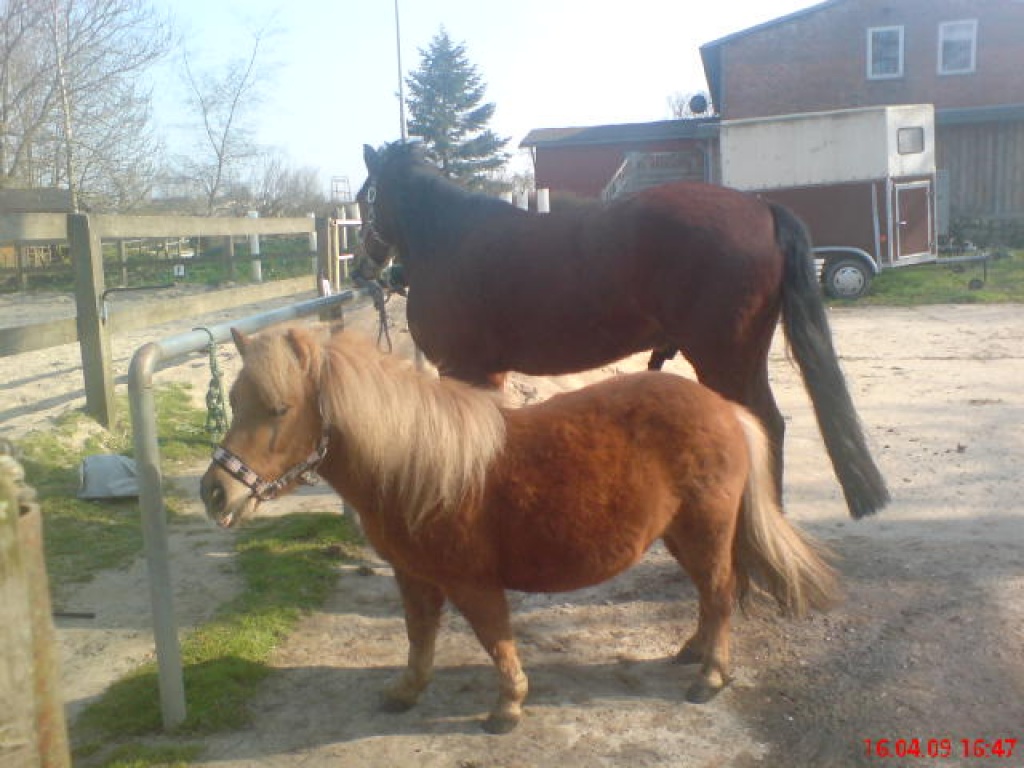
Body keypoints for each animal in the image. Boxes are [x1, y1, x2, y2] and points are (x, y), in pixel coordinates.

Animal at [200, 324, 838, 733]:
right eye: (233, 400)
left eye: (279, 409)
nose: (214, 492)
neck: (418, 467)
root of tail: (724, 409)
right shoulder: (413, 576)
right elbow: (419, 637)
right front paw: (407, 692)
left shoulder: (474, 583)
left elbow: (495, 641)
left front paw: (507, 708)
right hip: (680, 534)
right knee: (710, 598)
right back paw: (694, 653)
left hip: (705, 532)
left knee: (722, 593)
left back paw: (710, 676)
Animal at [357, 141, 889, 519]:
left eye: (364, 198)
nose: (365, 267)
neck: (449, 238)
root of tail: (760, 209)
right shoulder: (486, 372)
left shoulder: (464, 368)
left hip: (726, 360)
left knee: (765, 426)